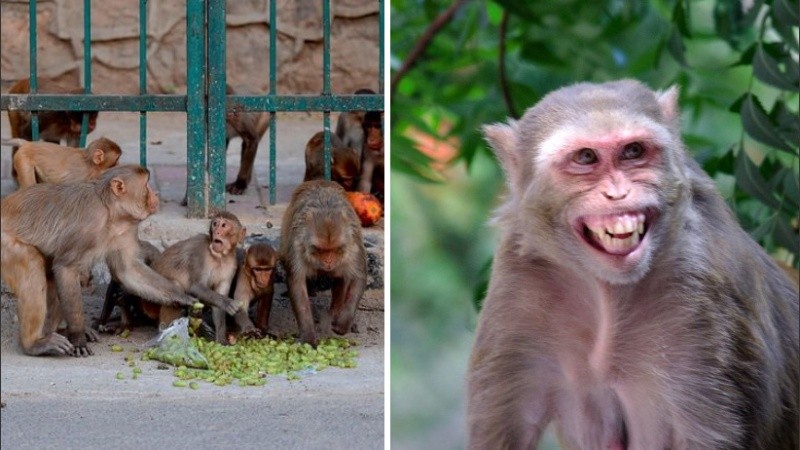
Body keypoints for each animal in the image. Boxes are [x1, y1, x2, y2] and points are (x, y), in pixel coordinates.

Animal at [143, 211, 245, 343]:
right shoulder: (199, 251)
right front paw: (227, 302)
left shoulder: (232, 266)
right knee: (176, 286)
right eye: (215, 224)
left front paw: (221, 340)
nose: (217, 231)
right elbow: (196, 287)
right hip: (149, 303)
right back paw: (166, 331)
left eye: (224, 225)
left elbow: (219, 303)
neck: (221, 257)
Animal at [279, 180, 367, 347]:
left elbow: (358, 277)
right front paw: (308, 336)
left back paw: (336, 311)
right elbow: (297, 283)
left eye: (335, 249)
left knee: (341, 277)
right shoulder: (298, 245)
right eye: (320, 249)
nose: (328, 260)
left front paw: (343, 323)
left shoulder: (352, 245)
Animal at [467, 80, 799, 449]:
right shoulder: (518, 281)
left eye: (633, 151)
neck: (607, 293)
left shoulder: (708, 297)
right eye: (586, 157)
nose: (618, 193)